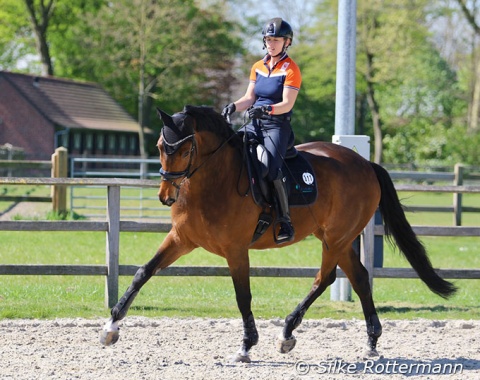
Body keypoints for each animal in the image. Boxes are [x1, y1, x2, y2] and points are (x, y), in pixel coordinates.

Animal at [100, 104, 454, 362]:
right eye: (161, 146)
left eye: (185, 151)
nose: (165, 196)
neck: (213, 180)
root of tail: (365, 164)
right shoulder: (181, 239)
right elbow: (143, 272)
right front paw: (111, 326)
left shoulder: (235, 250)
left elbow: (243, 296)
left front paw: (246, 345)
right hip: (335, 238)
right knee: (358, 277)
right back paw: (368, 341)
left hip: (336, 238)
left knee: (326, 278)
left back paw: (289, 333)